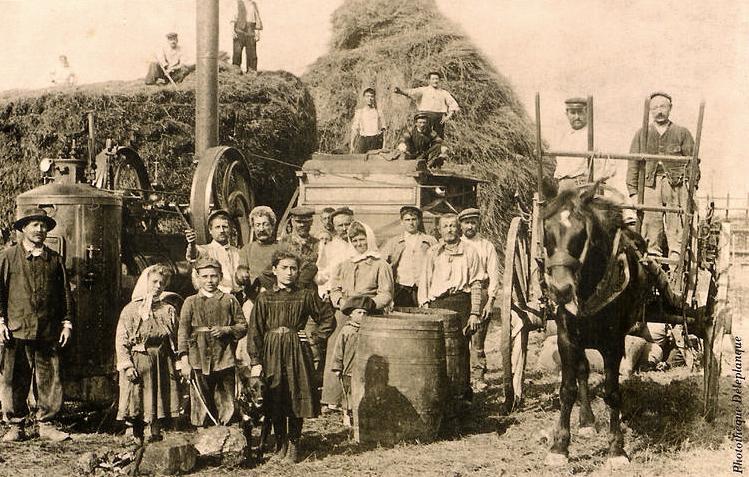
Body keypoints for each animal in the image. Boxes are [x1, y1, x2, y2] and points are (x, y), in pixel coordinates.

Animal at [540, 184, 652, 466]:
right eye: (546, 230)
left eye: (582, 234)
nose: (561, 289)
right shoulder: (567, 338)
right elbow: (567, 389)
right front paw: (559, 446)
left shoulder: (614, 343)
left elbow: (612, 392)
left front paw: (616, 449)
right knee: (582, 371)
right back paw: (587, 421)